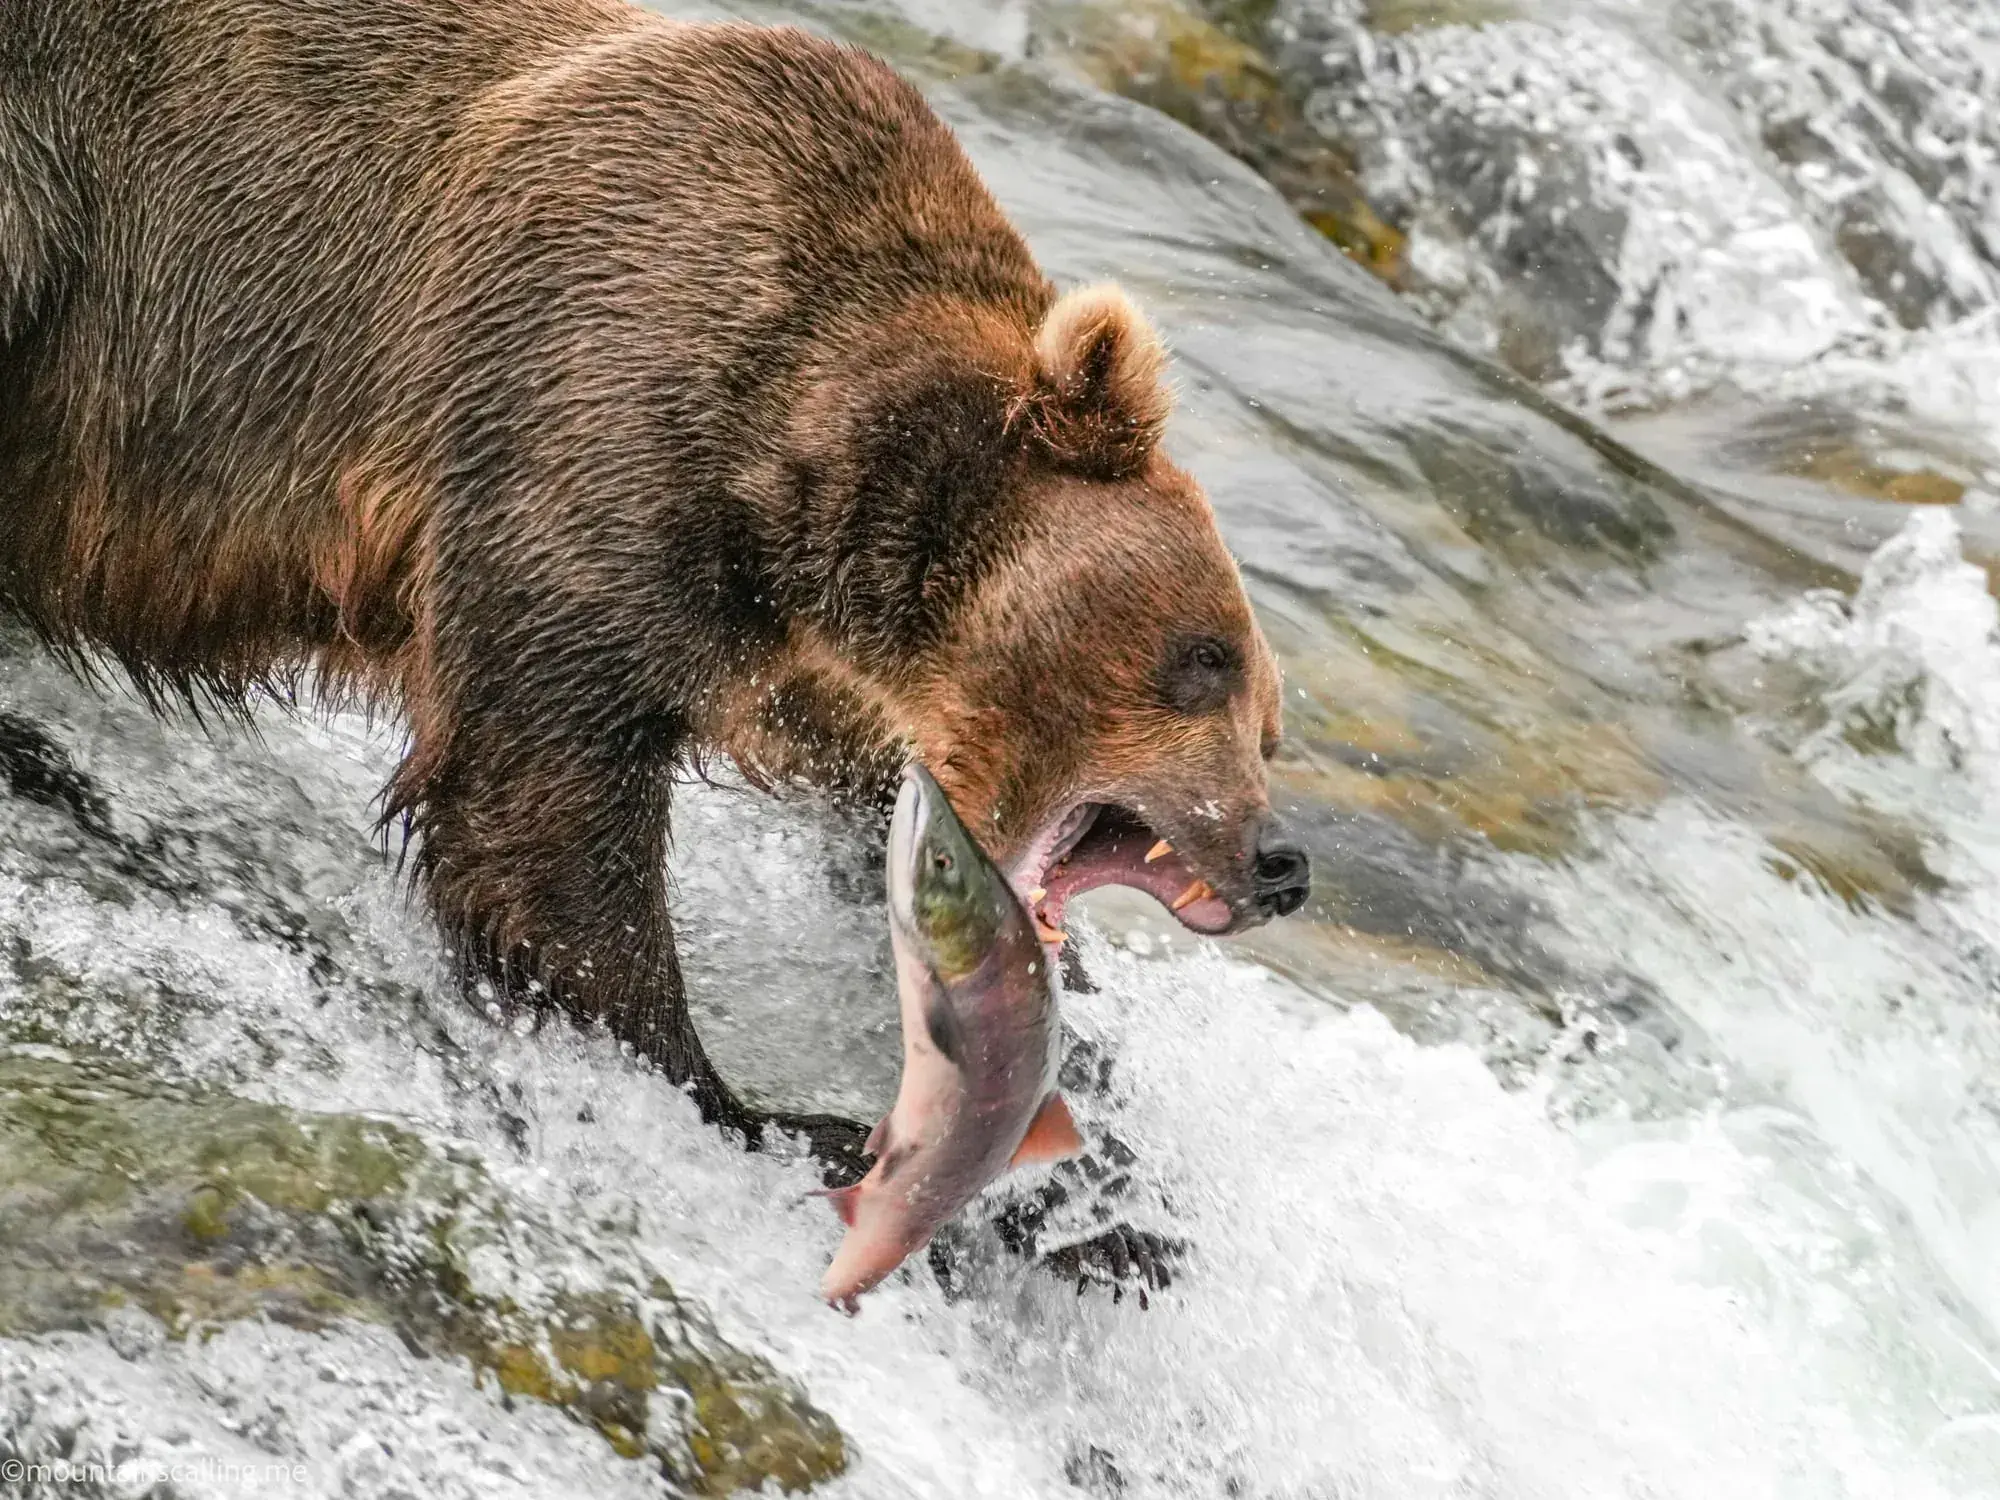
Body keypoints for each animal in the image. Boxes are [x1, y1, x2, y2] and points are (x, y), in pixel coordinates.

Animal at [0, 0, 1310, 1170]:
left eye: (1270, 724)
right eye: (1201, 660)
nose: (1278, 859)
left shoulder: (793, 659)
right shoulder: (587, 409)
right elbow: (543, 790)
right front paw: (748, 1104)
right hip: (50, 178)